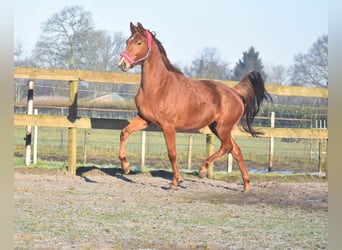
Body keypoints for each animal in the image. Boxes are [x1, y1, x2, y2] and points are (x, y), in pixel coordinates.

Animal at [117, 23, 270, 191]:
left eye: (139, 43)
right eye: (127, 41)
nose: (122, 63)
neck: (158, 87)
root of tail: (235, 93)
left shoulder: (168, 126)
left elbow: (172, 153)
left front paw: (175, 182)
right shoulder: (144, 119)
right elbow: (124, 133)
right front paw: (126, 167)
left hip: (223, 128)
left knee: (227, 146)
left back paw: (203, 170)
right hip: (217, 128)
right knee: (235, 150)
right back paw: (246, 185)